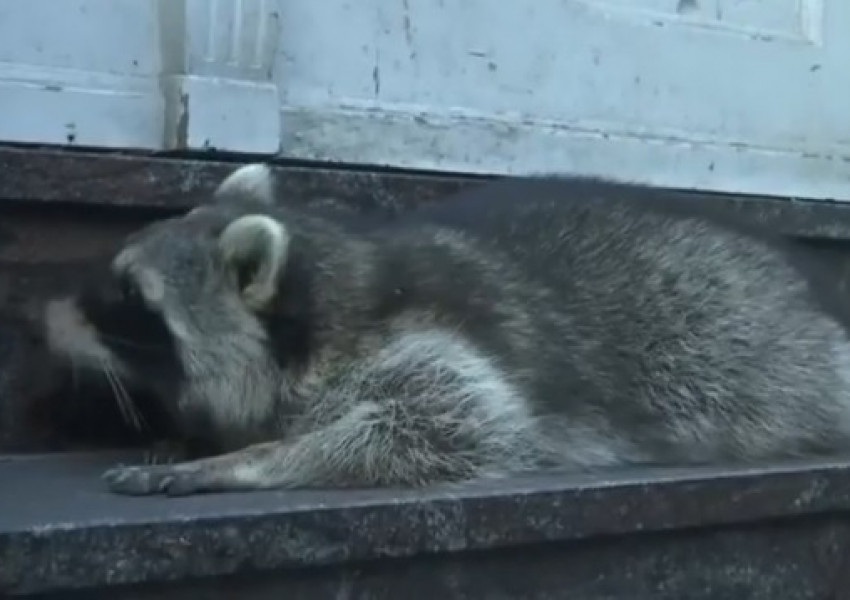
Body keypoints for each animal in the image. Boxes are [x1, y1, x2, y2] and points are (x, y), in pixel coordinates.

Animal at [39, 164, 850, 496]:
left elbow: (449, 426)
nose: (41, 317)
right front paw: (198, 437)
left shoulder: (420, 347)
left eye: (129, 295)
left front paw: (250, 457)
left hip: (758, 359)